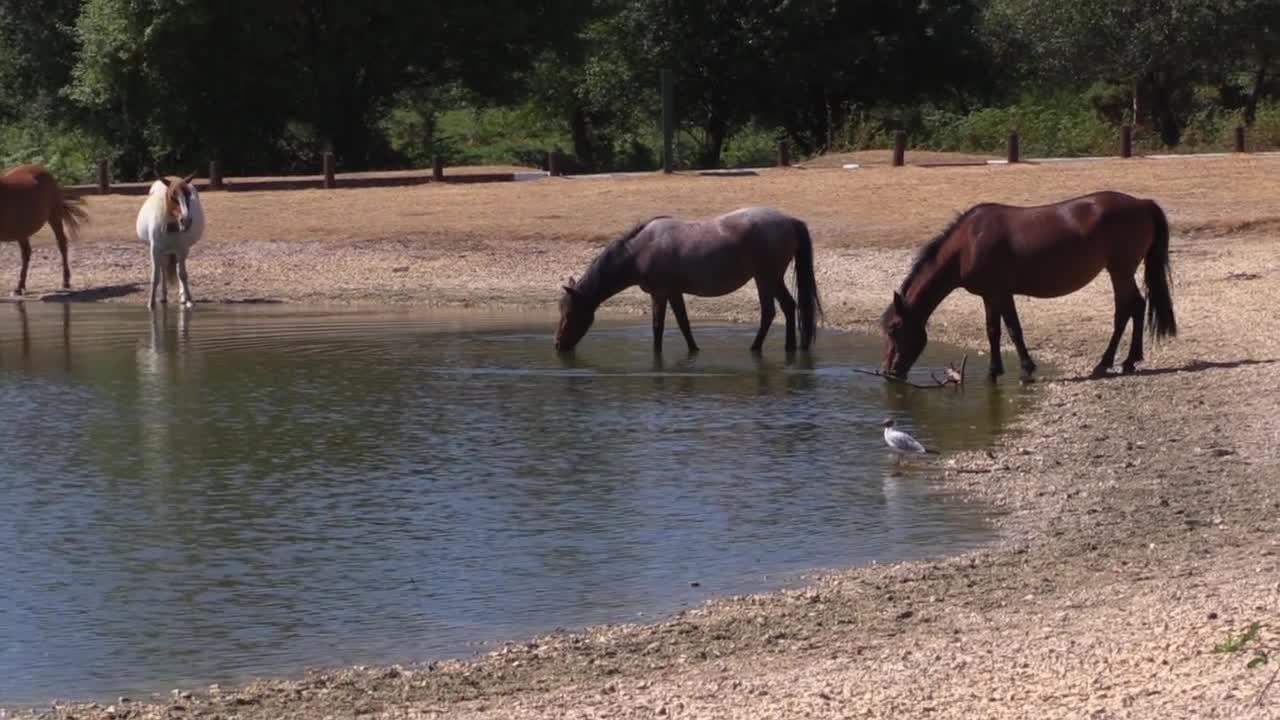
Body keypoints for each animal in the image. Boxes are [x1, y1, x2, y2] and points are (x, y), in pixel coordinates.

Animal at [0, 163, 88, 294]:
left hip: (54, 216)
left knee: (61, 244)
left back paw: (65, 281)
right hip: (22, 230)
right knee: (26, 253)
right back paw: (20, 286)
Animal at [135, 176, 203, 308]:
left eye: (188, 194)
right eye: (172, 196)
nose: (186, 220)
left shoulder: (182, 249)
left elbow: (182, 274)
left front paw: (189, 300)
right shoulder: (155, 250)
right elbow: (156, 276)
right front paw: (151, 303)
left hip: (179, 252)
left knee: (177, 268)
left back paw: (183, 296)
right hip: (164, 252)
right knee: (163, 268)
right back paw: (163, 296)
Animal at [555, 204, 824, 353]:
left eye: (569, 314)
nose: (558, 346)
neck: (640, 251)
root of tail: (788, 220)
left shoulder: (660, 293)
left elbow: (658, 327)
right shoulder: (673, 293)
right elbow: (683, 324)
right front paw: (693, 350)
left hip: (765, 278)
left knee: (769, 312)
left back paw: (755, 348)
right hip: (772, 278)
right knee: (789, 306)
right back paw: (790, 347)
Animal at [885, 190, 1172, 381]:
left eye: (894, 328)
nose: (889, 372)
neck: (968, 244)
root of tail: (1142, 203)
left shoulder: (1000, 293)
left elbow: (1012, 330)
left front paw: (1024, 369)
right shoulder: (991, 295)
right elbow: (994, 330)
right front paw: (996, 370)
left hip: (1120, 271)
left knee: (1127, 309)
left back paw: (1106, 363)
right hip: (1122, 272)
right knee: (1137, 307)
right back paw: (1130, 361)